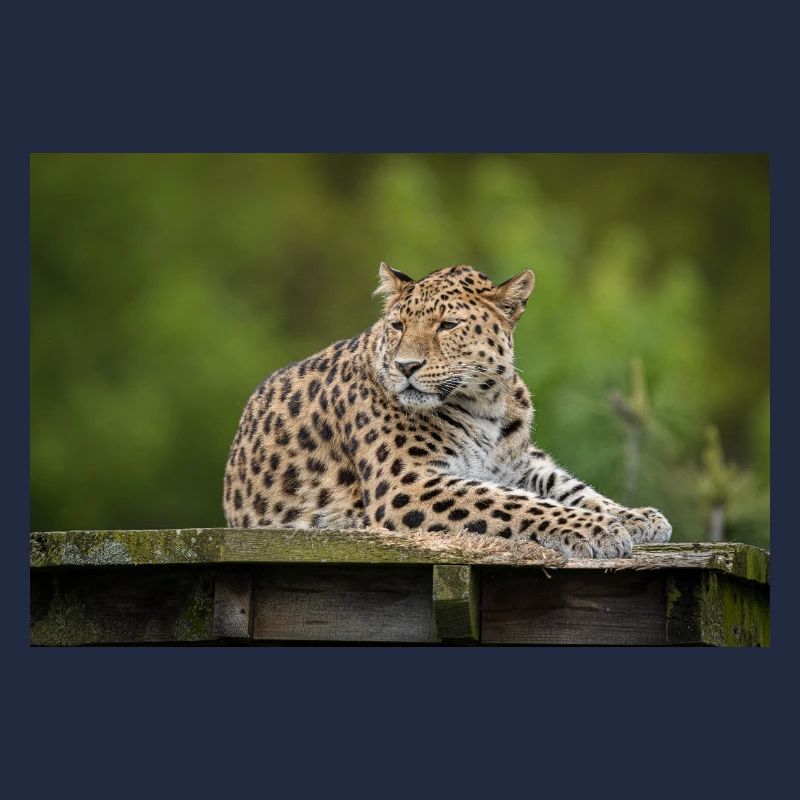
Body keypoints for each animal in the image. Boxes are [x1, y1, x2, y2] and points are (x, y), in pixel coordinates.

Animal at [223, 263, 672, 559]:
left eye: (448, 325)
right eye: (398, 326)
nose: (406, 366)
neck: (487, 404)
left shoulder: (517, 462)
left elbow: (567, 487)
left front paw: (635, 517)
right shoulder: (406, 483)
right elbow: (515, 503)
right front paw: (599, 529)